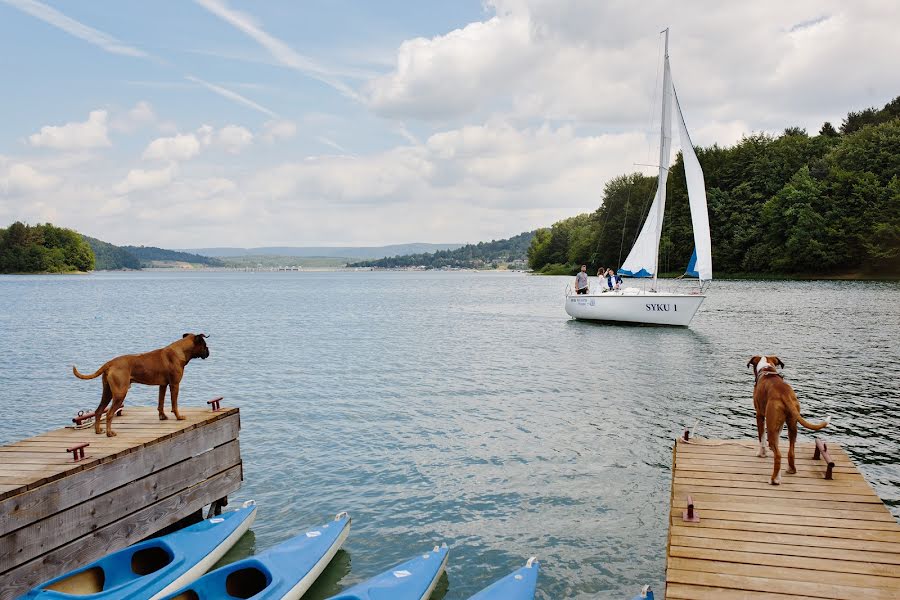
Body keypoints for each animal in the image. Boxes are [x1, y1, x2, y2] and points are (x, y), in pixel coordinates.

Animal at [74, 332, 211, 436]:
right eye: (204, 345)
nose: (209, 351)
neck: (180, 351)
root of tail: (110, 363)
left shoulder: (163, 385)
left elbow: (161, 403)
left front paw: (162, 416)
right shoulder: (174, 385)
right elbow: (174, 404)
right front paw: (178, 417)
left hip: (107, 393)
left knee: (98, 411)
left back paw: (98, 431)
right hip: (119, 394)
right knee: (109, 414)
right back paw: (109, 433)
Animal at [744, 354, 828, 486]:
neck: (767, 369)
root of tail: (784, 393)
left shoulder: (759, 415)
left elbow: (761, 438)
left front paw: (761, 453)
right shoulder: (779, 424)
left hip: (771, 425)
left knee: (778, 455)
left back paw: (774, 479)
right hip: (792, 426)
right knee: (790, 452)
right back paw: (790, 470)